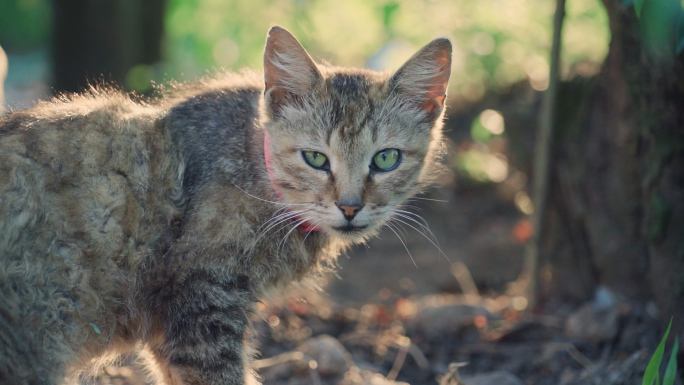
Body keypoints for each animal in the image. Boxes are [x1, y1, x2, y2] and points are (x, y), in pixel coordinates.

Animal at [0, 25, 452, 382]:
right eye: (316, 158)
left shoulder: (173, 330)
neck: (258, 174)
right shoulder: (200, 309)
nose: (350, 206)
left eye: (386, 158)